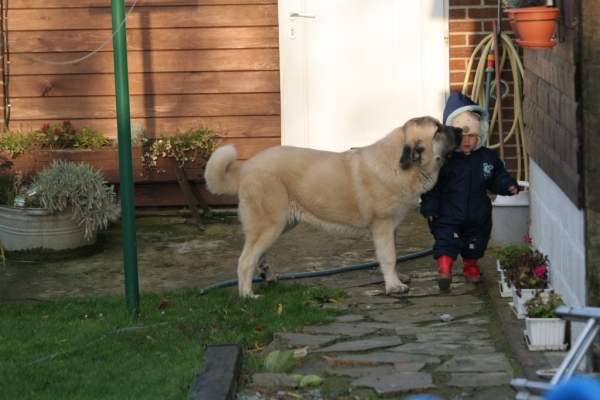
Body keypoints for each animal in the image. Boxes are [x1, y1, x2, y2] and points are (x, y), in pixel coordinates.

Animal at [204, 115, 462, 296]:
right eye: (438, 130)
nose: (461, 129)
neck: (400, 164)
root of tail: (245, 167)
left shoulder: (392, 229)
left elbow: (393, 255)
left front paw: (397, 278)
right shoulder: (383, 226)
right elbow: (389, 256)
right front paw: (394, 286)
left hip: (280, 223)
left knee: (258, 254)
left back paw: (268, 276)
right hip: (270, 224)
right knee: (245, 260)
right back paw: (247, 295)